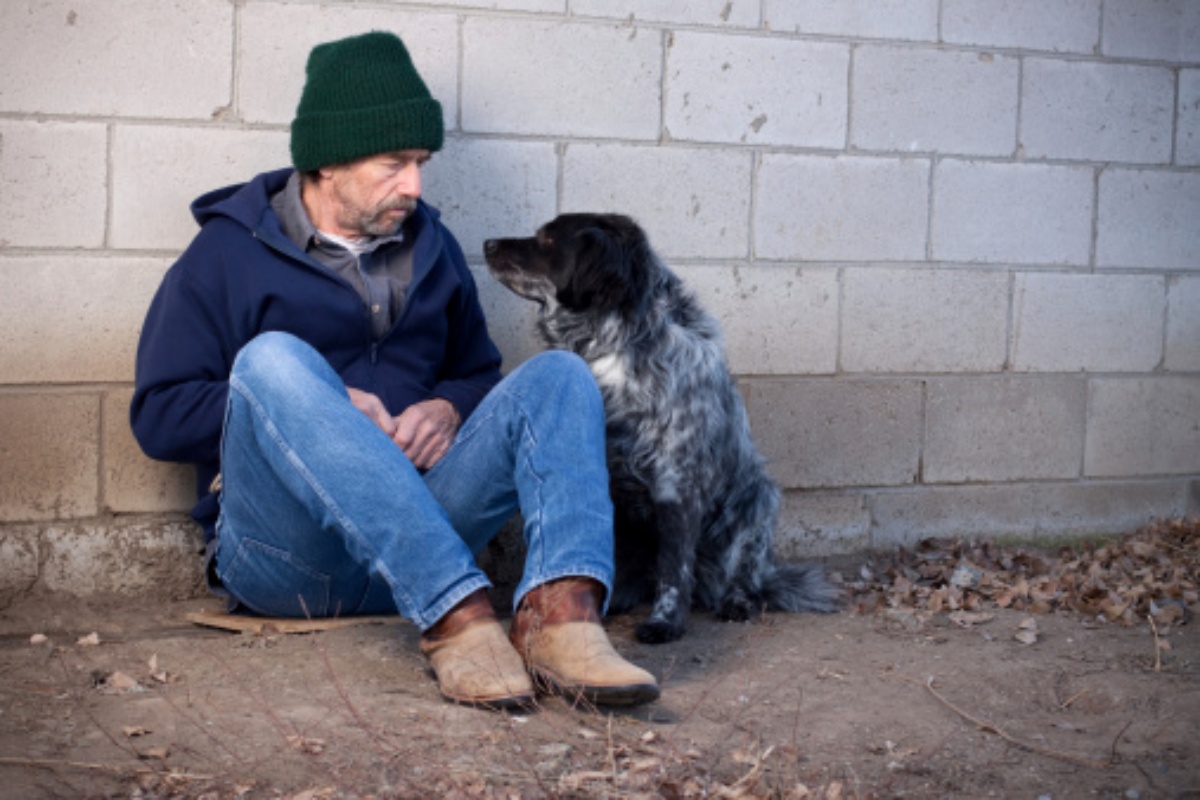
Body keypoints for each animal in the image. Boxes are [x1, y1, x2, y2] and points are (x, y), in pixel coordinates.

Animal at [482, 214, 840, 642]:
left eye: (549, 239)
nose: (486, 244)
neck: (612, 349)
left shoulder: (676, 485)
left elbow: (673, 570)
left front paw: (665, 622)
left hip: (758, 502)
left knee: (745, 577)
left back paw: (737, 602)